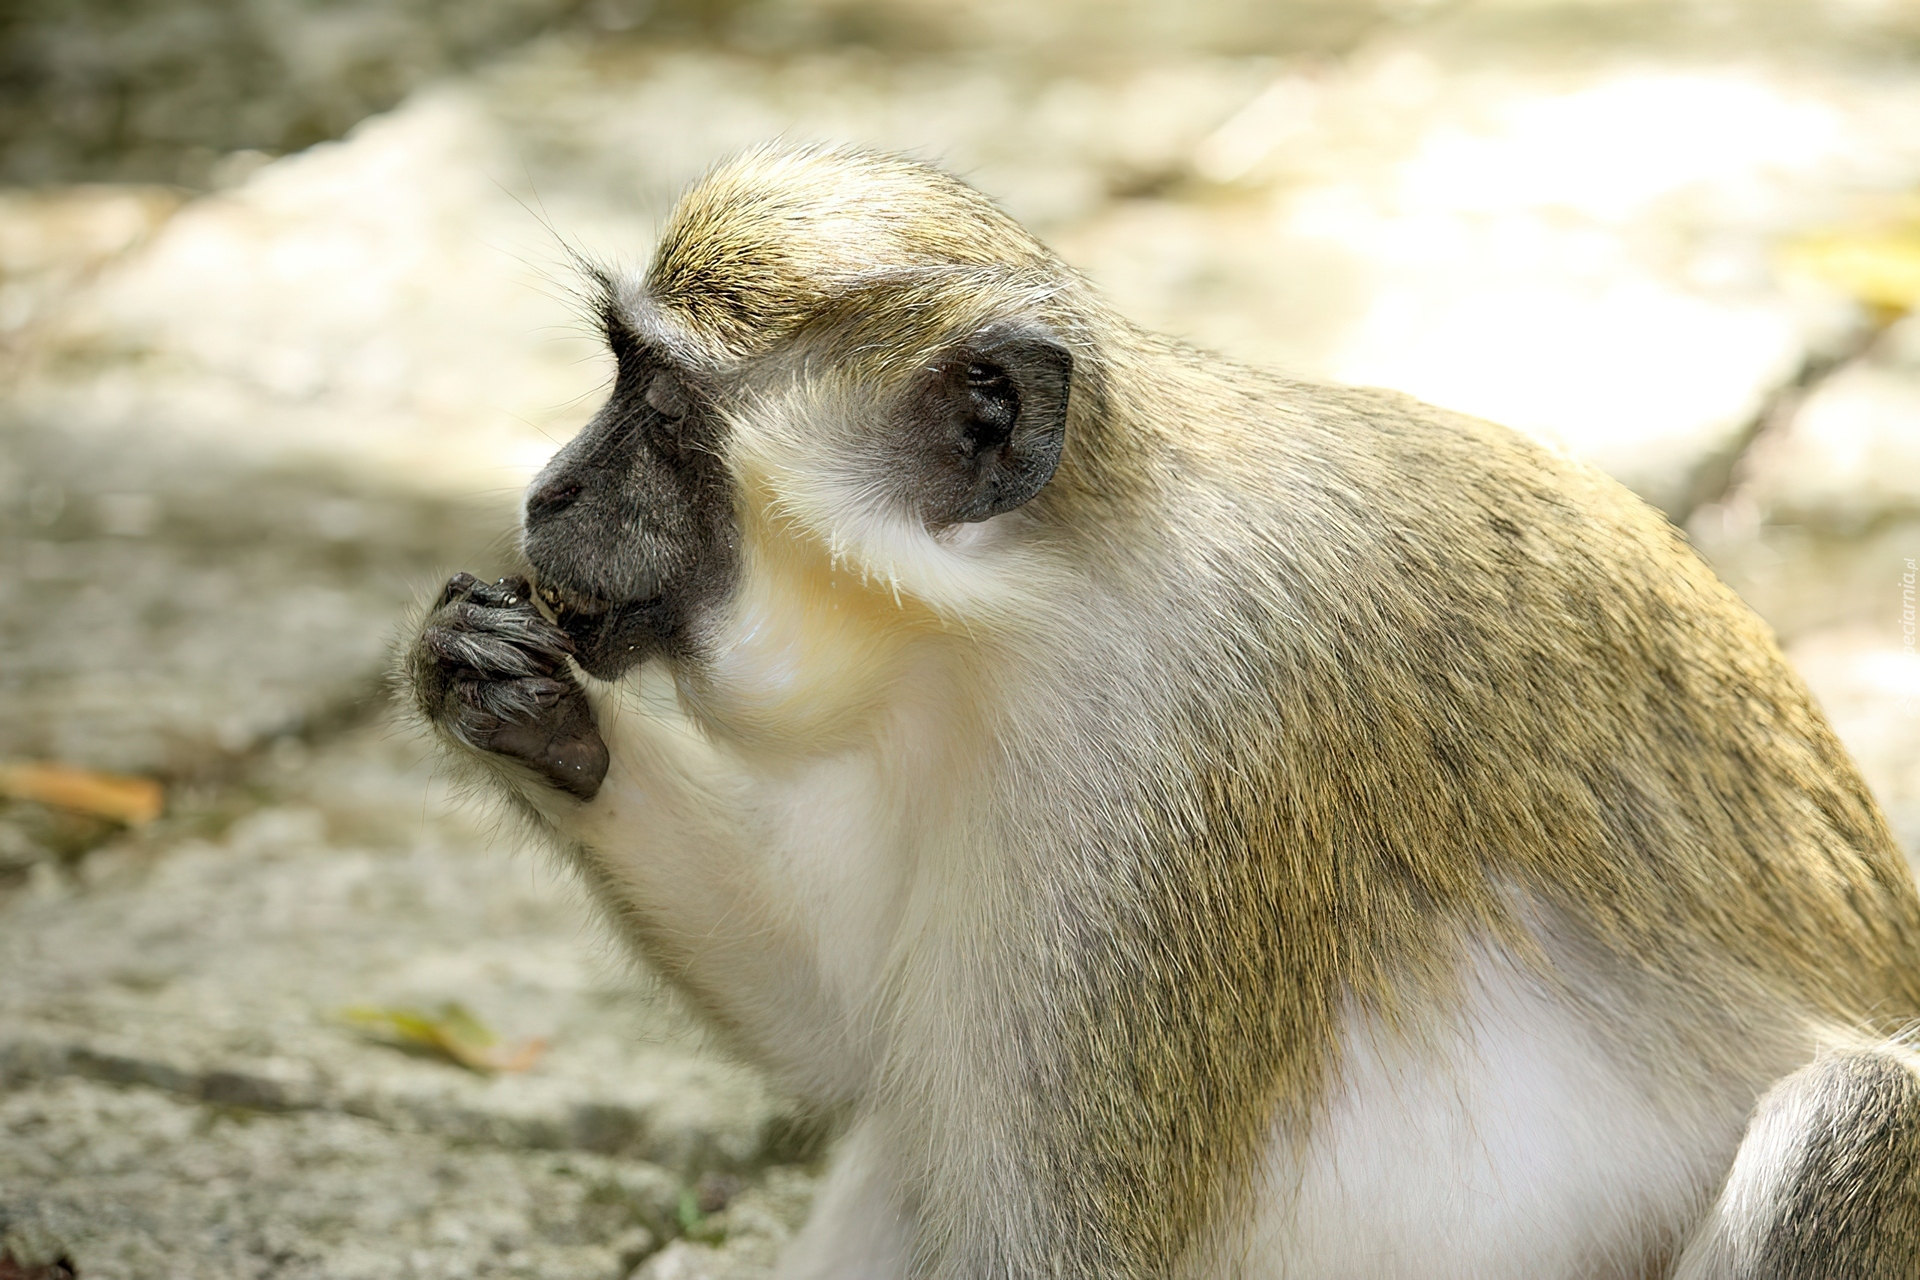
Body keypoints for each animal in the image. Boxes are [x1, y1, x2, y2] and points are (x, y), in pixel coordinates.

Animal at [405, 143, 1920, 1278]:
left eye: (659, 411)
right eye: (619, 377)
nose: (546, 487)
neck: (1038, 594)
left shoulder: (1170, 781)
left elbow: (1045, 1242)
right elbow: (847, 1029)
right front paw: (527, 707)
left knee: (1853, 1116)